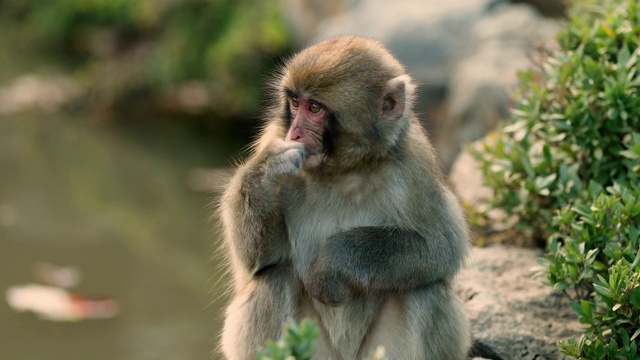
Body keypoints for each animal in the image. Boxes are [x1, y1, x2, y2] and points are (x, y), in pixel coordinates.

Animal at [220, 35, 470, 358]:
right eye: (295, 103)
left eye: (315, 108)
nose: (295, 134)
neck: (343, 170)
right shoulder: (271, 137)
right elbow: (256, 260)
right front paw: (266, 169)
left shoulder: (415, 166)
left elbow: (442, 246)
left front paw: (333, 263)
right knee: (273, 279)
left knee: (424, 287)